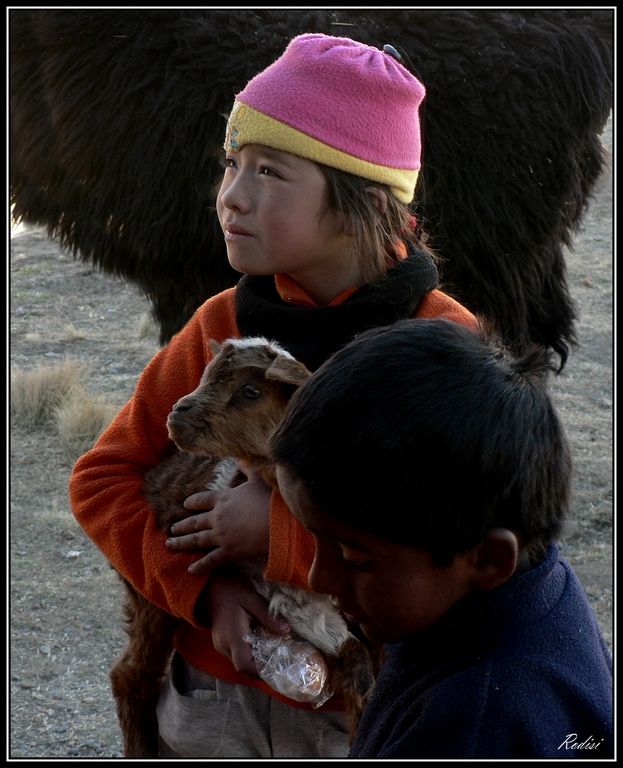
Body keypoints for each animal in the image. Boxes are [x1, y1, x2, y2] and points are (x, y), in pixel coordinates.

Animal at [108, 340, 376, 760]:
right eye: (206, 373)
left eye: (251, 391)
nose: (178, 414)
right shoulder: (289, 593)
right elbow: (354, 659)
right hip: (149, 592)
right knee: (131, 677)